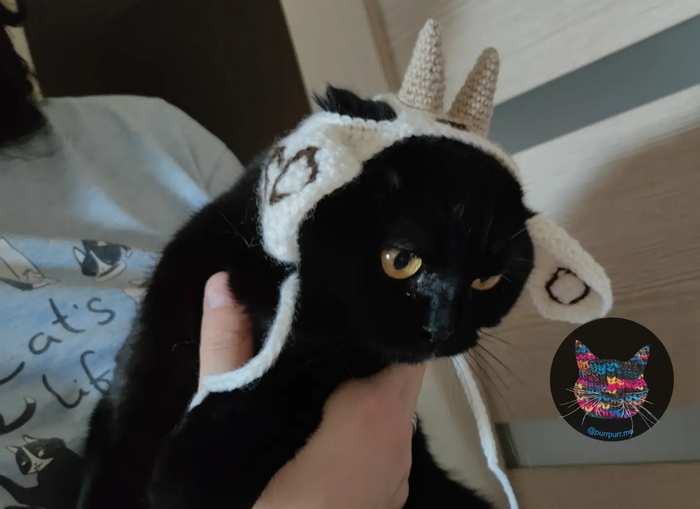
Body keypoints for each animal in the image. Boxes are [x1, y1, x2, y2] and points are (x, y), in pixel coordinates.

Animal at [76, 86, 535, 509]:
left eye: (487, 281)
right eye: (400, 260)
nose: (444, 326)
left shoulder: (341, 359)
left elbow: (289, 377)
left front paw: (192, 467)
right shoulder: (156, 344)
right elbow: (124, 428)